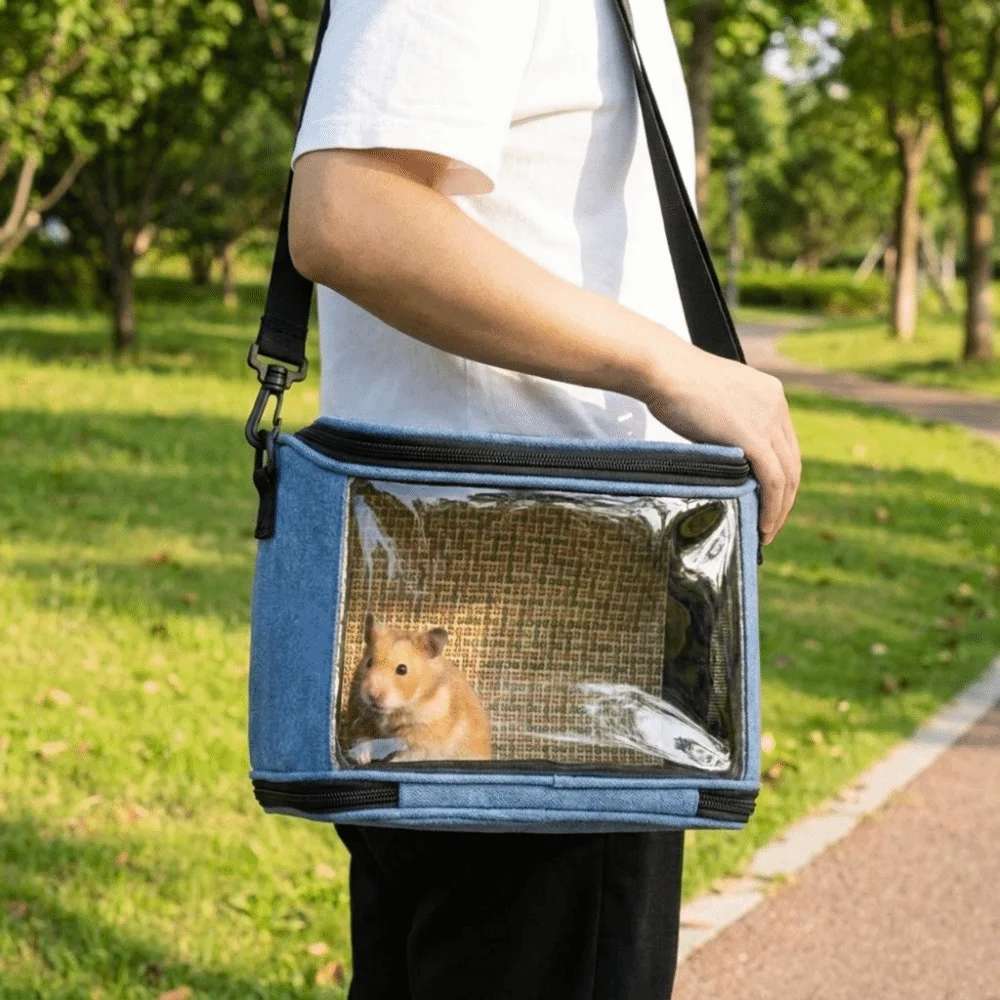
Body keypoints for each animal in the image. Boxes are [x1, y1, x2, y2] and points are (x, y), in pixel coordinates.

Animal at [345, 615, 492, 763]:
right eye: (369, 662)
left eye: (402, 669)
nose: (373, 696)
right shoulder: (361, 720)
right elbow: (362, 740)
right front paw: (362, 759)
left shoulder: (424, 738)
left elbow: (405, 754)